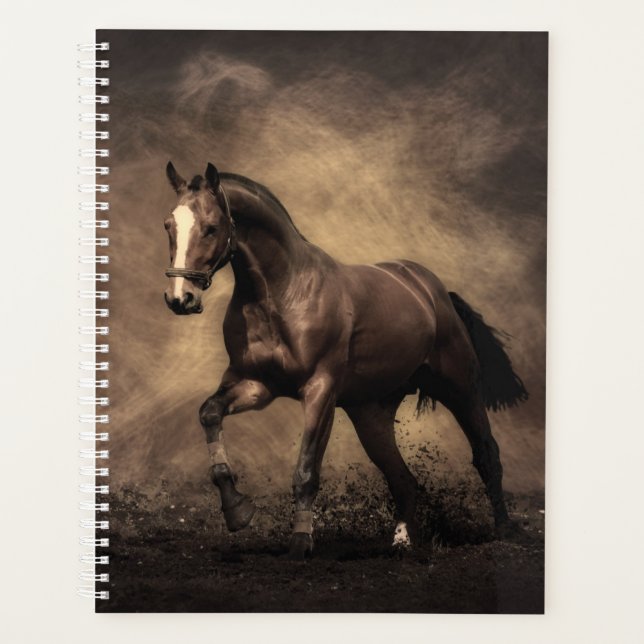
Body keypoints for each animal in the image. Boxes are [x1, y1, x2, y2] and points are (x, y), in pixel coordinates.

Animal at [163, 161, 529, 559]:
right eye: (169, 225)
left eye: (212, 227)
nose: (180, 298)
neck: (282, 294)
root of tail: (434, 292)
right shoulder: (255, 385)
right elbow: (209, 414)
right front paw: (237, 511)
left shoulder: (320, 391)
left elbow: (306, 470)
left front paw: (300, 543)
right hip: (371, 414)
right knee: (402, 478)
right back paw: (402, 542)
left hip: (460, 388)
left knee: (486, 454)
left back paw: (504, 530)